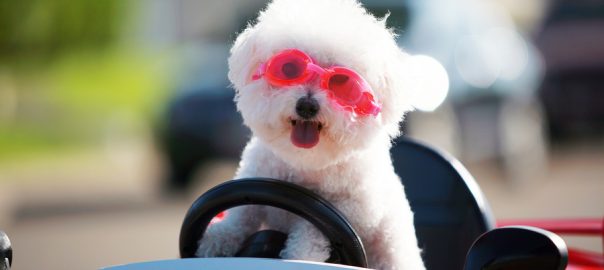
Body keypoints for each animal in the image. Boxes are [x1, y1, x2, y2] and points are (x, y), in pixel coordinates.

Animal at [196, 0, 428, 268]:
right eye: (289, 68)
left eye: (342, 83)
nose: (307, 106)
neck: (307, 163)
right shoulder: (255, 177)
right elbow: (241, 212)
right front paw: (218, 237)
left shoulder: (352, 208)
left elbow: (312, 229)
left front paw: (300, 256)